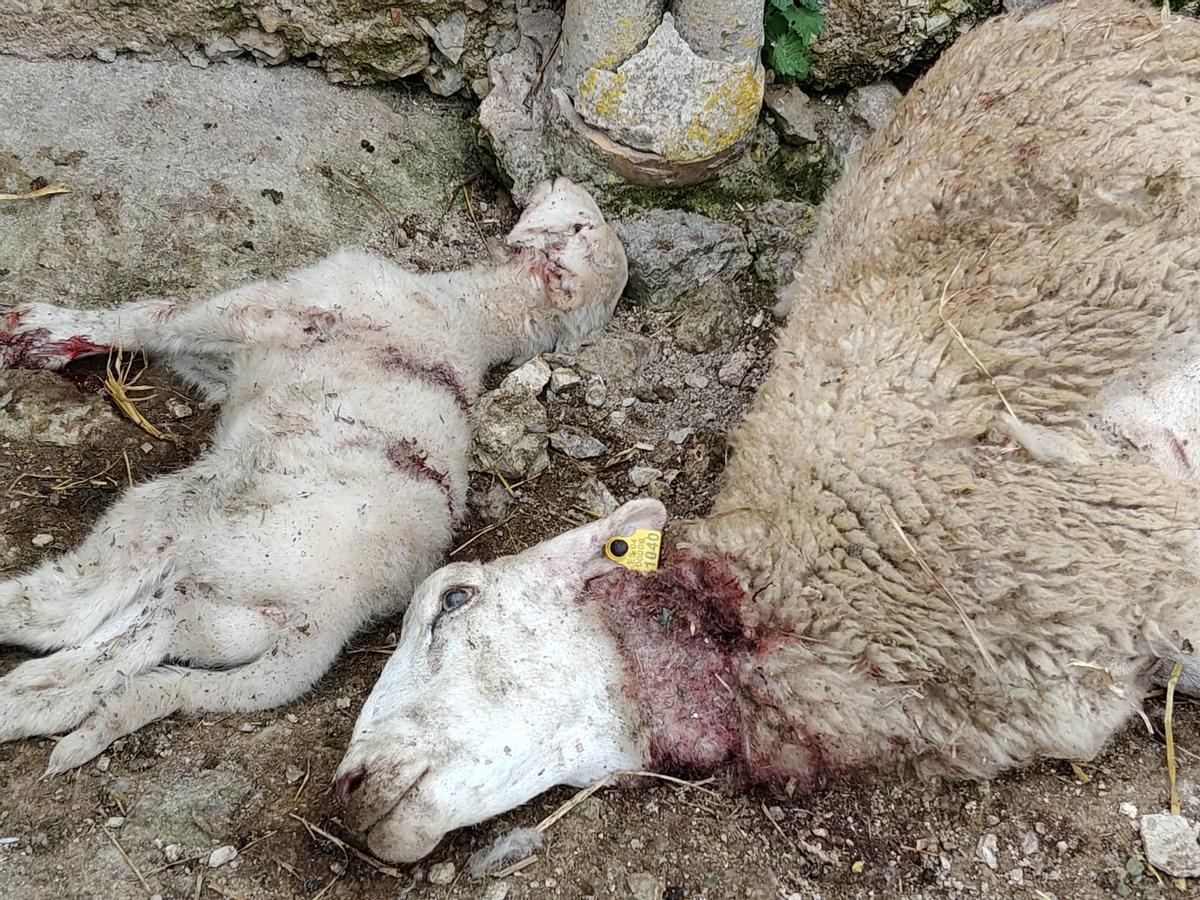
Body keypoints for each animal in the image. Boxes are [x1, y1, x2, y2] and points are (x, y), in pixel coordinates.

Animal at [0, 177, 627, 774]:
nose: (558, 178)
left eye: (578, 221)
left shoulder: (252, 311)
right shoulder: (225, 364)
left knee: (77, 617)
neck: (468, 313)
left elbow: (148, 317)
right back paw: (25, 698)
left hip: (185, 522)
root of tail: (326, 624)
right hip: (225, 609)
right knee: (117, 643)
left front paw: (35, 331)